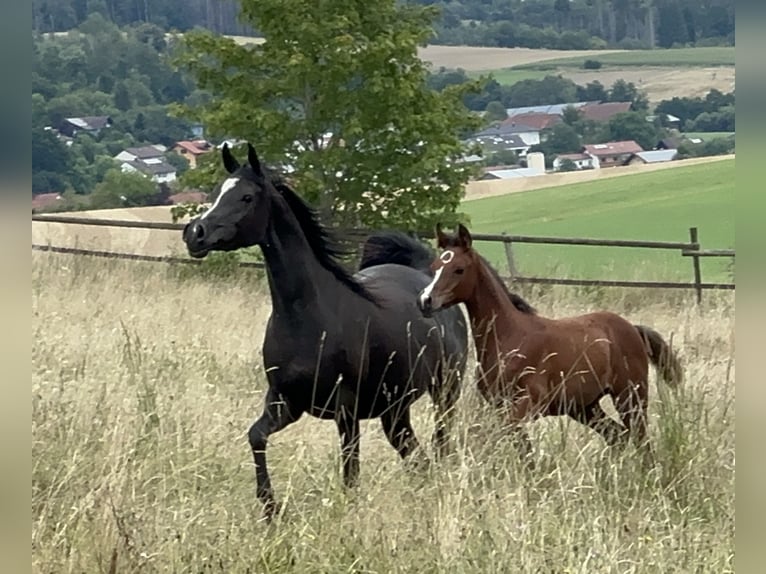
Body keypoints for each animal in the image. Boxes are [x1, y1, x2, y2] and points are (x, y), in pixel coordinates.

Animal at [182, 143, 469, 519]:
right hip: (394, 410)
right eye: (216, 192)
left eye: (246, 197)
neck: (307, 318)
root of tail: (425, 280)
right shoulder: (284, 402)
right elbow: (256, 437)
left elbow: (350, 472)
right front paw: (270, 507)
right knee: (416, 456)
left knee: (440, 445)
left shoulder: (345, 411)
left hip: (444, 392)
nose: (195, 234)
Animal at [416, 223, 683, 462]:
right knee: (618, 436)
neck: (509, 337)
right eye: (435, 267)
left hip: (630, 396)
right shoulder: (499, 406)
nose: (425, 301)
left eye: (459, 269)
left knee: (640, 440)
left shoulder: (527, 405)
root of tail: (633, 329)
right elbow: (522, 452)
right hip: (585, 407)